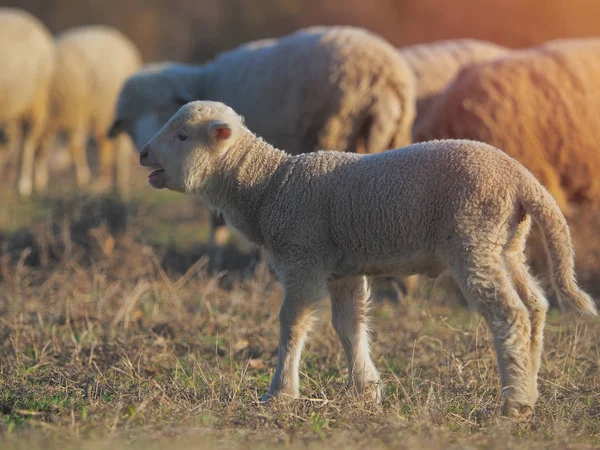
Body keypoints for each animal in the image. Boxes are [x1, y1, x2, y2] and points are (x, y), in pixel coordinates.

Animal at [40, 25, 142, 193]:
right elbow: (44, 146)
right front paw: (38, 181)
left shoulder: (71, 112)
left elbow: (73, 146)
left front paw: (82, 178)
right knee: (118, 146)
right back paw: (119, 183)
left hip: (104, 109)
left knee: (106, 143)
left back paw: (104, 182)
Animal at [139, 100, 596, 420]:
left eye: (182, 137)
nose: (143, 154)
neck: (267, 186)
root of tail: (522, 179)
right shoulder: (342, 268)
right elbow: (349, 326)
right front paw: (366, 389)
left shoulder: (304, 256)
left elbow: (292, 324)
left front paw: (279, 394)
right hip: (507, 243)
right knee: (535, 305)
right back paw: (530, 389)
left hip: (474, 237)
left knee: (509, 314)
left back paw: (513, 404)